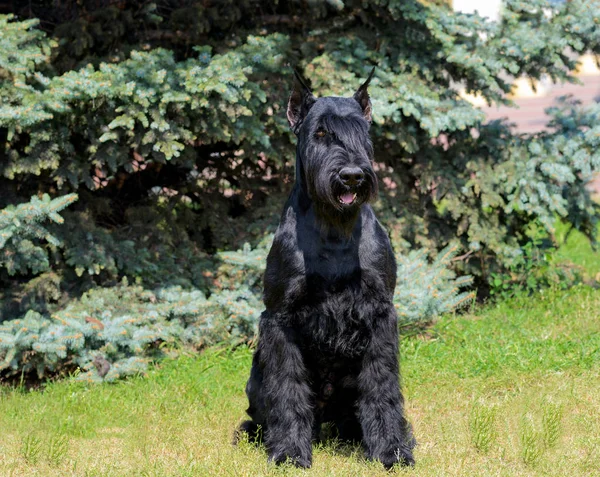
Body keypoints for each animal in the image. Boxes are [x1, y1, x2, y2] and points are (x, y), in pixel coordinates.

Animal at [237, 69, 414, 466]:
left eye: (361, 132)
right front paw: (289, 453)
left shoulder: (380, 313)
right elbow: (287, 387)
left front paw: (392, 449)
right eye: (319, 133)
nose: (351, 176)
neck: (334, 228)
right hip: (256, 379)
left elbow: (381, 385)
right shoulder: (280, 318)